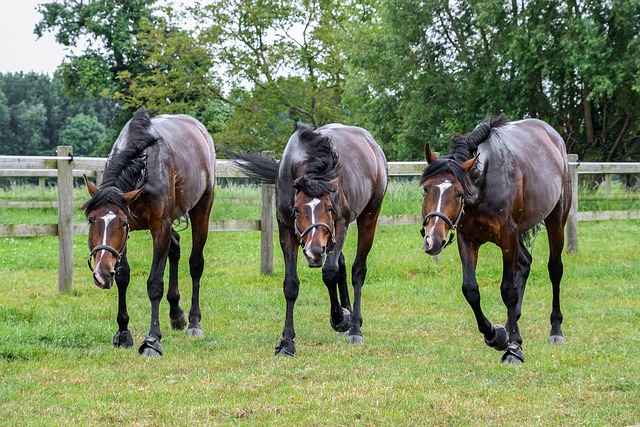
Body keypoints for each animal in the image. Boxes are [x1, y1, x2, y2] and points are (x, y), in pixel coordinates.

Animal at [82, 107, 215, 358]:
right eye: (91, 220)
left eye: (122, 224)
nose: (101, 273)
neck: (143, 165)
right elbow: (123, 277)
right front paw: (123, 332)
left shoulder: (160, 227)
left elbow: (154, 284)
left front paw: (152, 340)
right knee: (175, 247)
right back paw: (176, 313)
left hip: (202, 207)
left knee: (195, 264)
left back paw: (194, 322)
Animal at [228, 122, 388, 356]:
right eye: (296, 210)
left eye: (329, 207)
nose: (314, 252)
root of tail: (372, 144)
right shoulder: (286, 230)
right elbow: (291, 285)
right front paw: (286, 341)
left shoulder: (339, 225)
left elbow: (330, 273)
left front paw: (339, 320)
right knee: (341, 263)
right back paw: (347, 313)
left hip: (368, 217)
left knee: (358, 270)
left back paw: (354, 326)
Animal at [420, 115, 568, 366]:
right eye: (426, 189)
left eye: (458, 193)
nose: (433, 240)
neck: (483, 184)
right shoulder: (467, 239)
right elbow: (470, 290)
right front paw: (496, 335)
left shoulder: (507, 236)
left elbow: (509, 290)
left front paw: (514, 348)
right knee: (525, 263)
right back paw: (510, 325)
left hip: (556, 220)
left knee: (555, 270)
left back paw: (555, 330)